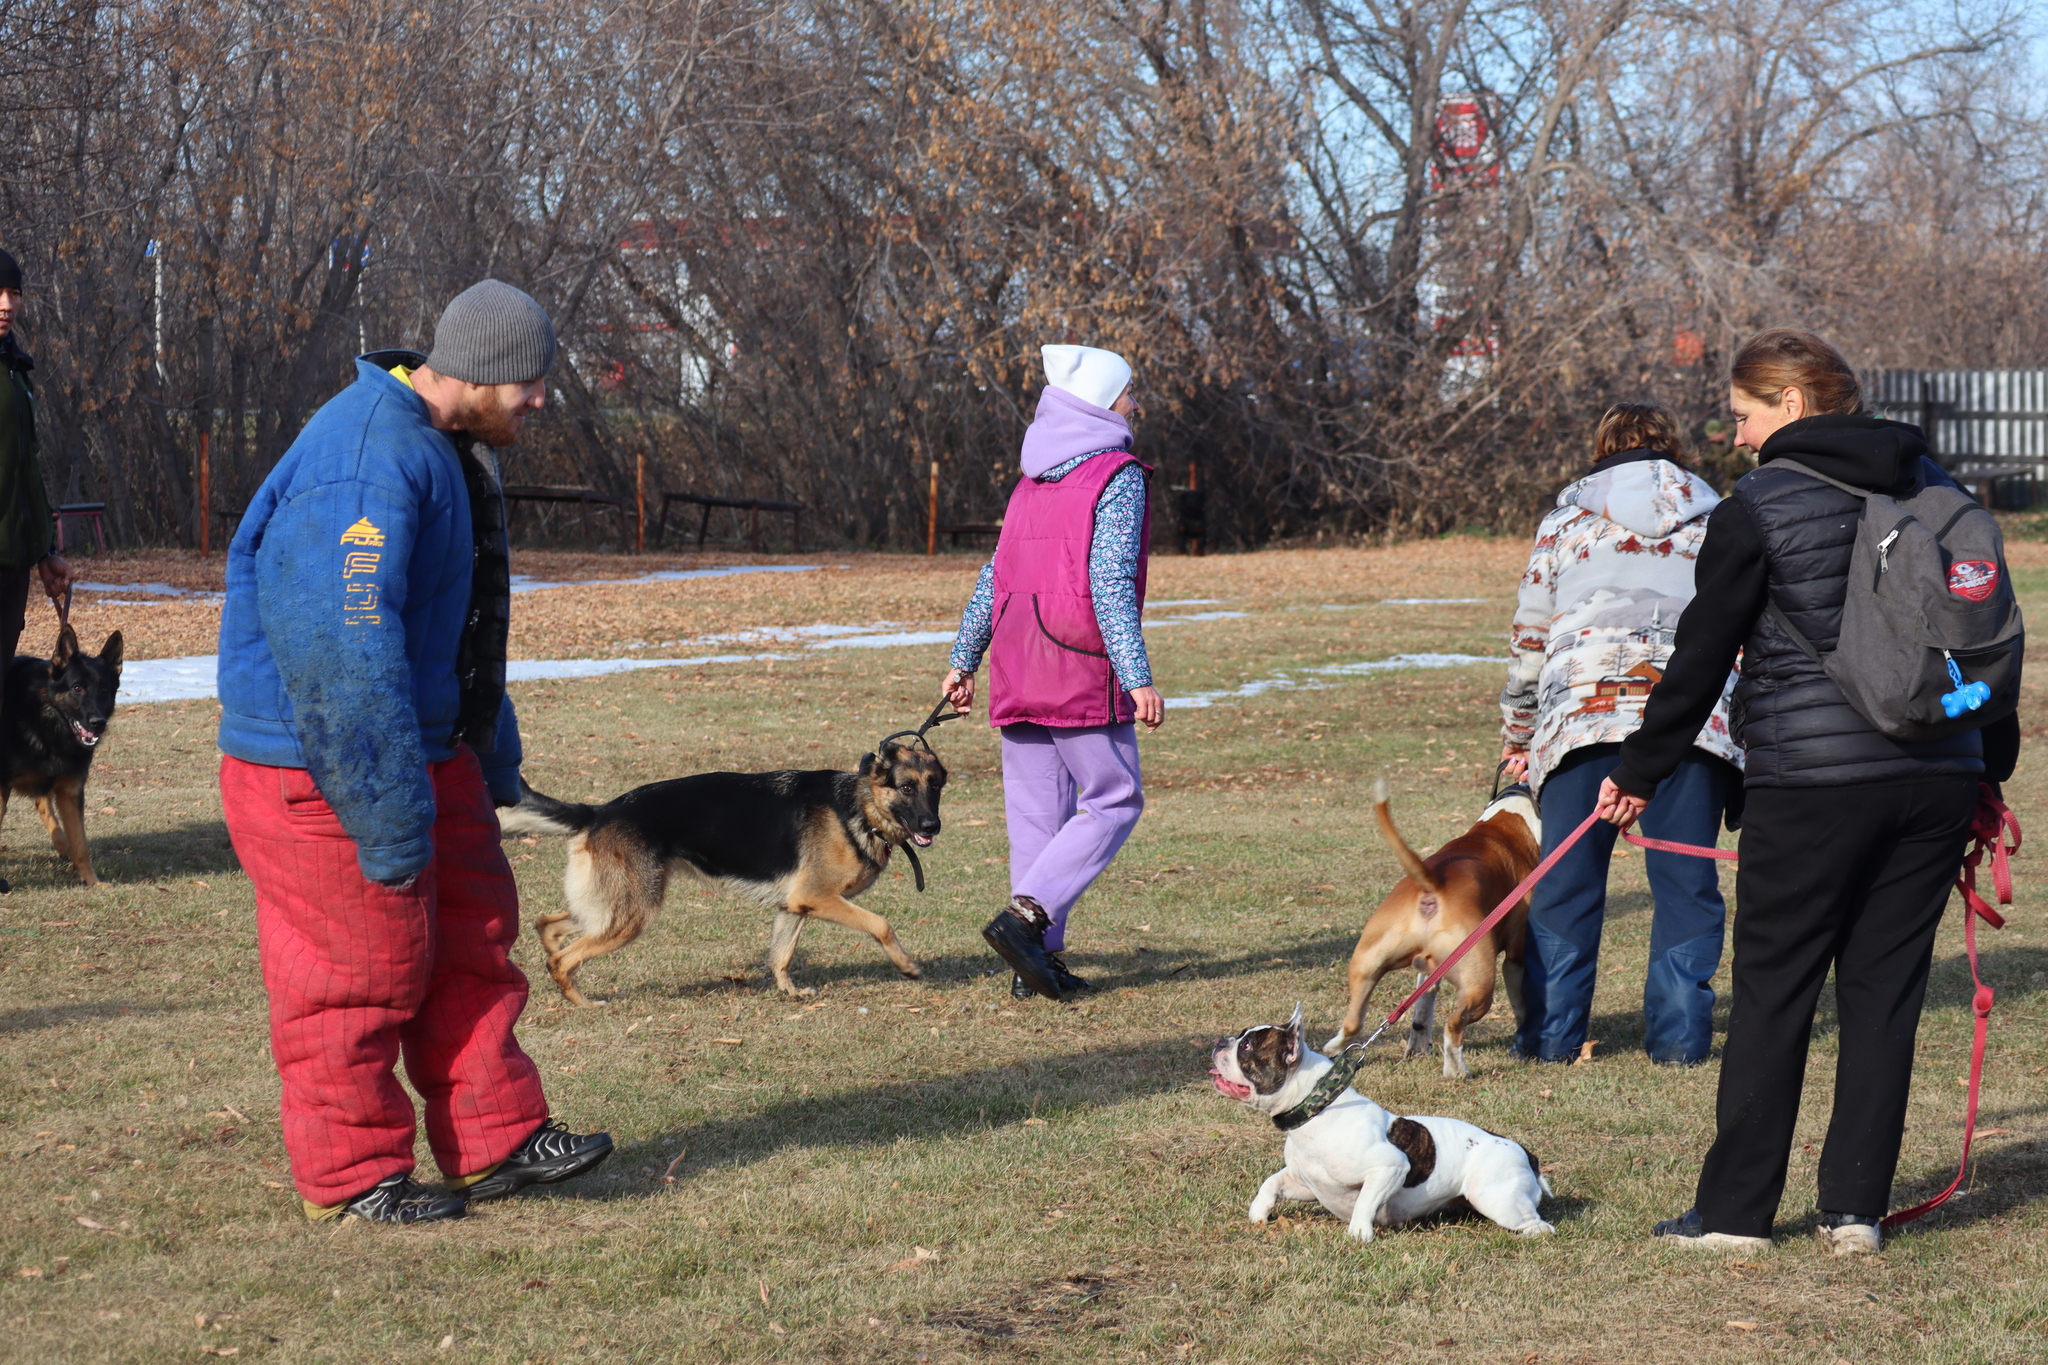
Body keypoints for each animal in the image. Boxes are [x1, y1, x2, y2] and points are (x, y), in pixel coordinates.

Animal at [1318, 777, 1540, 1080]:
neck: (1507, 822)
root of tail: (1433, 884)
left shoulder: (1430, 969)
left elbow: (1423, 1006)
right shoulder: (1516, 959)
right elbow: (1520, 1003)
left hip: (1366, 964)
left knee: (1354, 1021)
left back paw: (1336, 1048)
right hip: (1479, 983)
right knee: (1454, 1024)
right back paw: (1457, 1070)